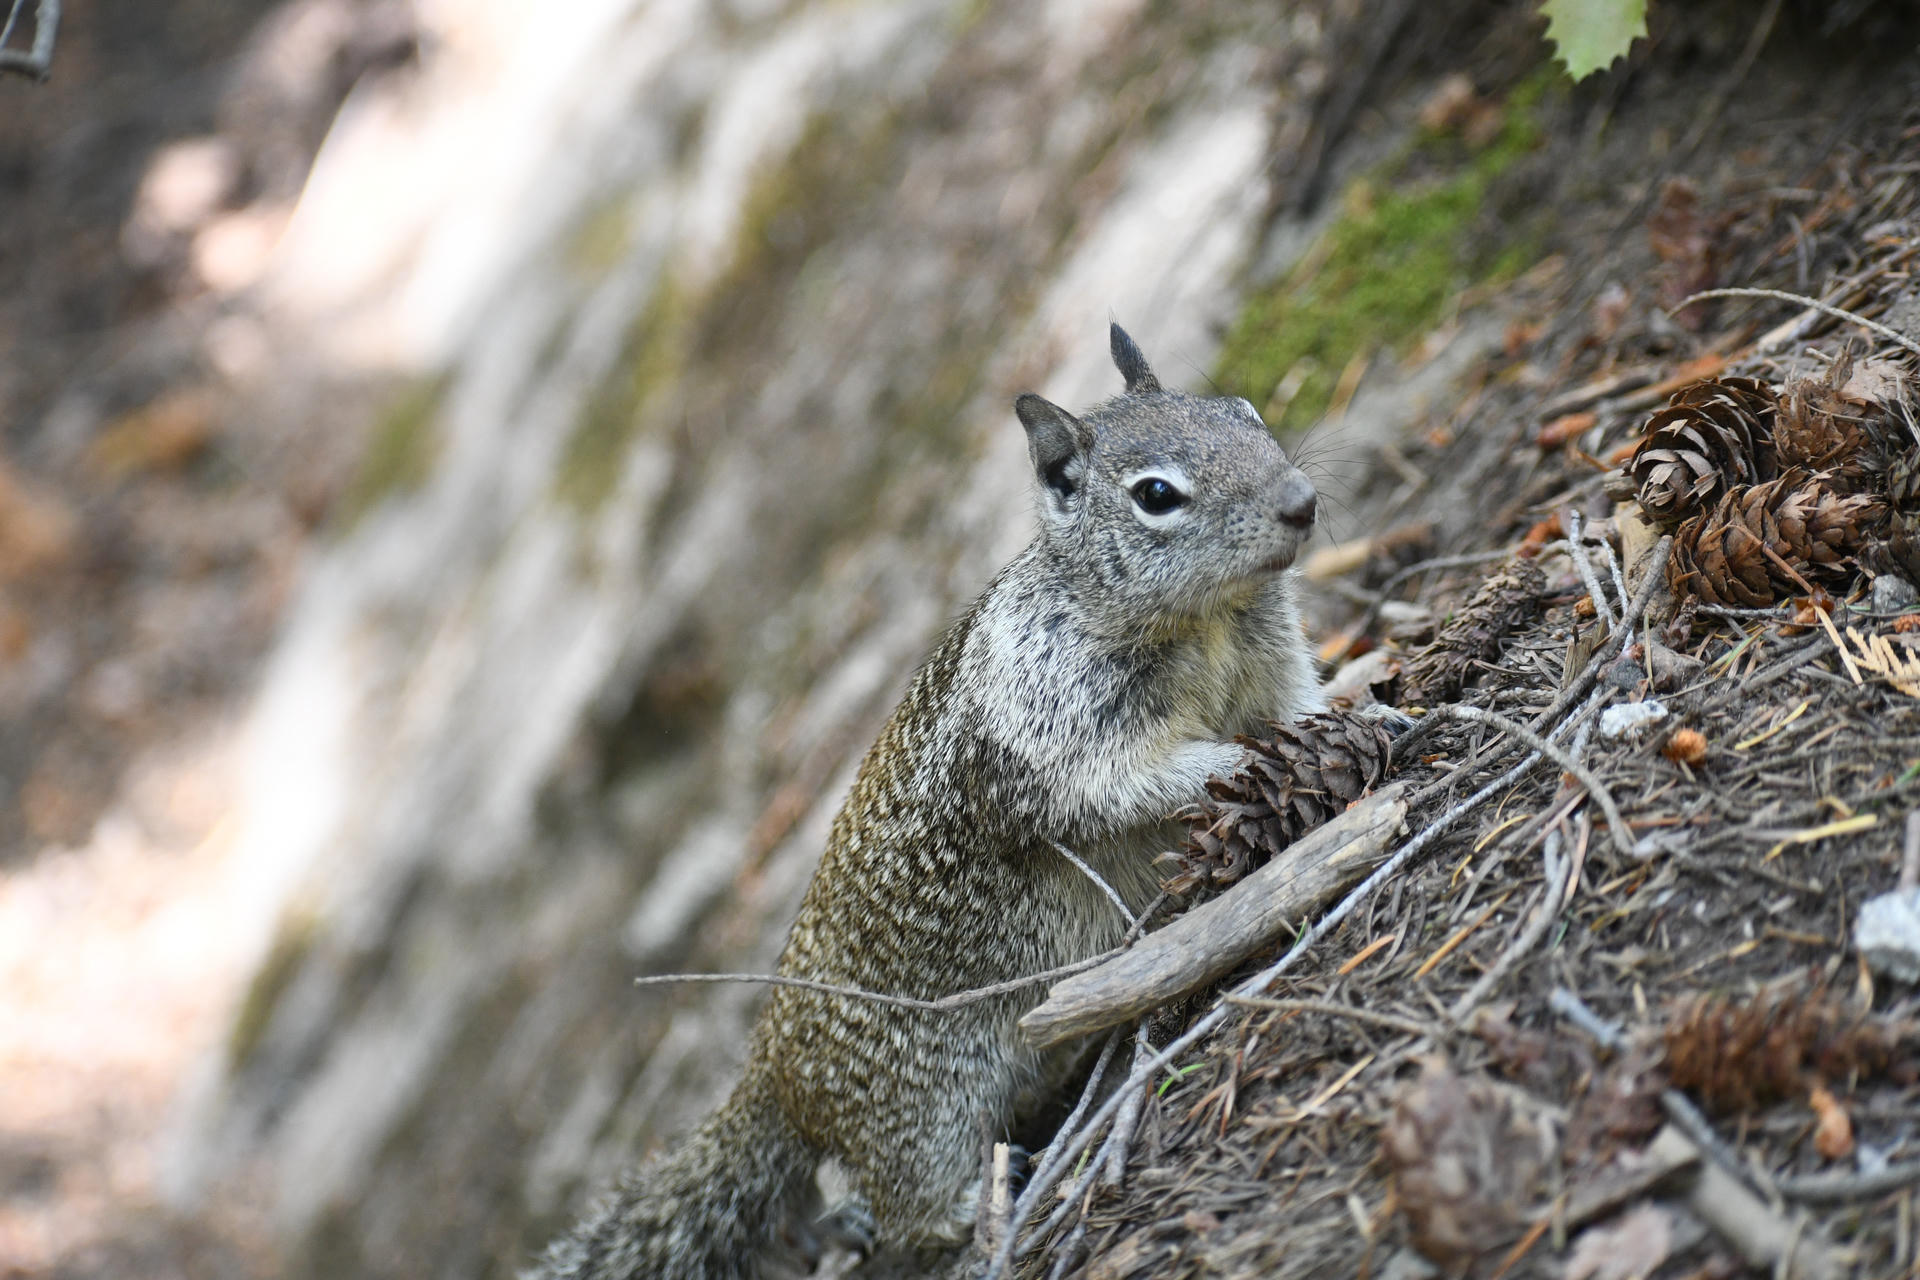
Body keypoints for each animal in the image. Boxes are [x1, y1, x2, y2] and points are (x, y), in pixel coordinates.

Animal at [531, 324, 1322, 1279]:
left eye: (1244, 411)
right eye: (1157, 496)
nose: (1302, 502)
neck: (1204, 623)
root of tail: (774, 1078)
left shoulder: (1272, 664)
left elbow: (1302, 707)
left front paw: (1374, 709)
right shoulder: (1058, 735)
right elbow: (1125, 781)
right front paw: (1228, 760)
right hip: (927, 1110)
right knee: (907, 1207)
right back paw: (982, 1193)